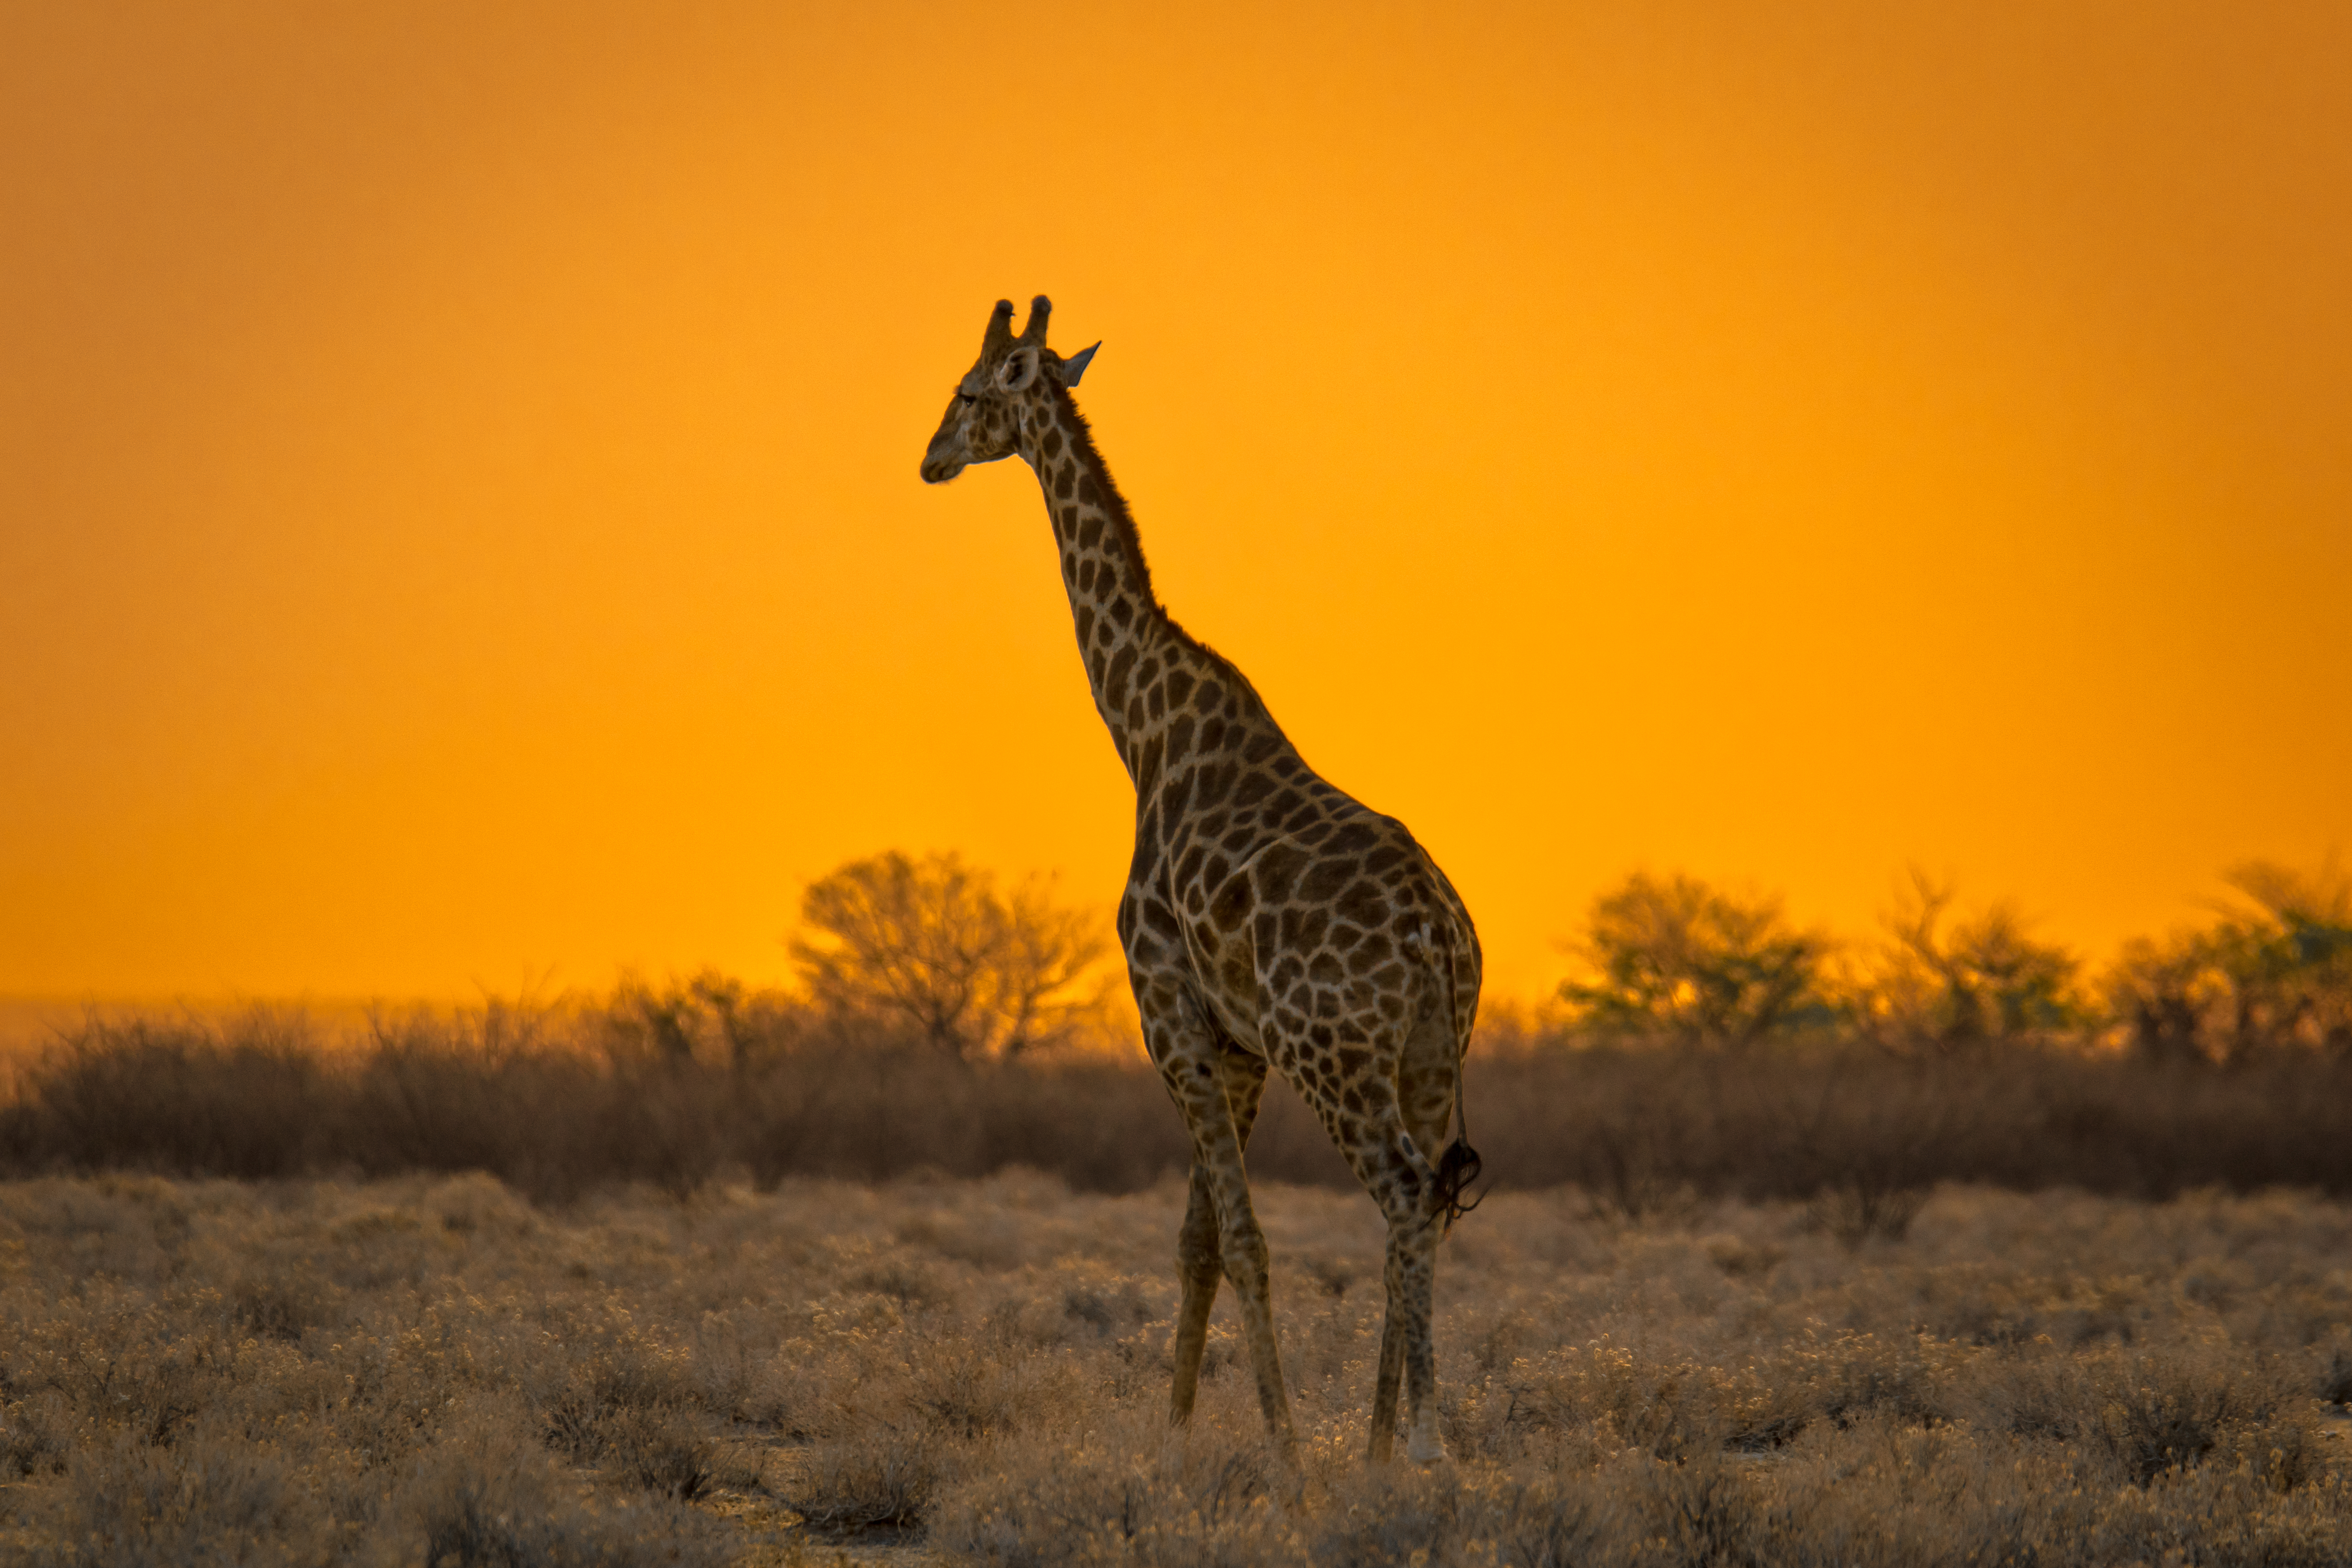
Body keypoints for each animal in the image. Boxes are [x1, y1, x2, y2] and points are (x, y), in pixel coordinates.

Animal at [919, 296, 1482, 1467]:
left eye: (967, 391)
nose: (928, 459)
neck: (1142, 726)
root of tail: (1433, 936)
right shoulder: (1234, 1041)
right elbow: (1200, 1243)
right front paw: (1178, 1438)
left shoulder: (1167, 1011)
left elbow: (1240, 1238)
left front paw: (1277, 1453)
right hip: (1427, 1052)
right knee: (1426, 1203)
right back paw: (1381, 1448)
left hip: (1335, 1055)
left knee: (1407, 1191)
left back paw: (1416, 1444)